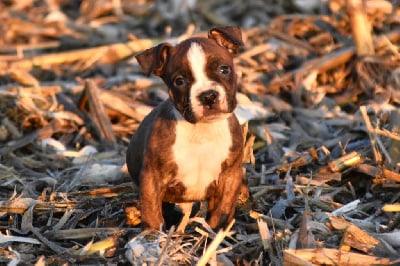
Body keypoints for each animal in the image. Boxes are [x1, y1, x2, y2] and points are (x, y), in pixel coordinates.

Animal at [126, 26, 244, 232]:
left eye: (224, 69)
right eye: (179, 81)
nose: (208, 95)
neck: (202, 130)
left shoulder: (230, 176)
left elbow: (220, 212)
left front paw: (213, 234)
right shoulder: (151, 179)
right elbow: (152, 214)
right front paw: (153, 236)